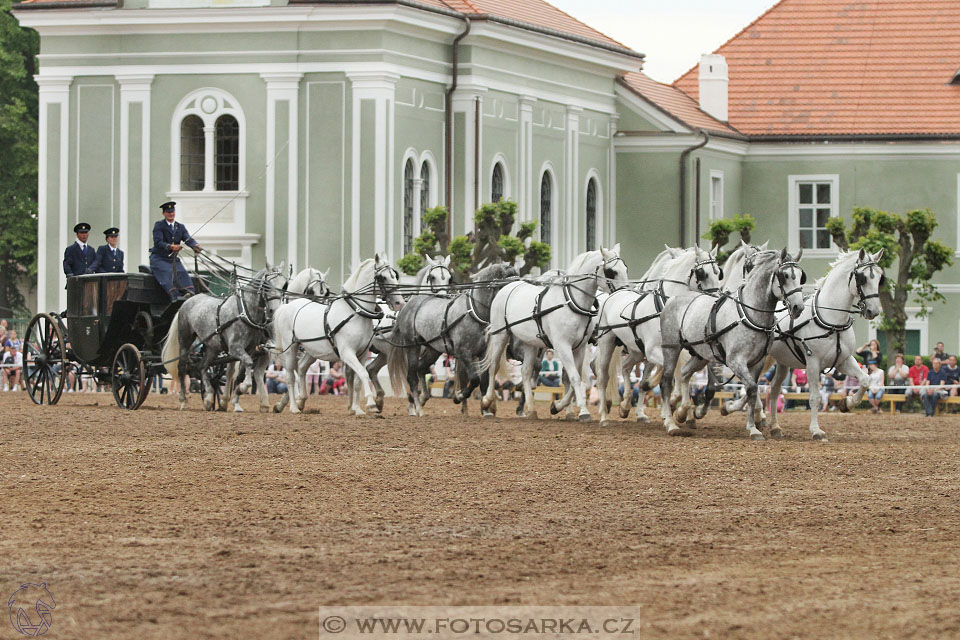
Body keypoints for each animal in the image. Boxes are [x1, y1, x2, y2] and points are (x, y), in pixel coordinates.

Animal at [270, 252, 402, 418]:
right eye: (383, 277)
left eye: (395, 275)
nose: (399, 303)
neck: (355, 312)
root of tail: (287, 306)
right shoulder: (347, 353)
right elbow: (363, 374)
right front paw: (371, 404)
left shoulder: (362, 353)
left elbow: (358, 380)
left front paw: (358, 409)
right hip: (291, 349)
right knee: (290, 377)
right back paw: (294, 407)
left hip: (313, 350)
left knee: (301, 368)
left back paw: (301, 401)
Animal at [480, 245, 632, 420]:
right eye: (611, 271)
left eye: (625, 268)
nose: (624, 294)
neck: (571, 303)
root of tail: (508, 287)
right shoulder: (562, 346)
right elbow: (574, 377)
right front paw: (583, 411)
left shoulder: (579, 347)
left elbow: (573, 378)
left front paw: (558, 406)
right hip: (501, 335)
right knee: (494, 367)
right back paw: (487, 401)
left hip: (530, 343)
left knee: (525, 372)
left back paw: (531, 409)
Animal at [592, 245, 720, 424]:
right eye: (702, 273)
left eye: (718, 272)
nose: (716, 298)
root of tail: (614, 294)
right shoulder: (653, 351)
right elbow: (673, 373)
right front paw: (676, 408)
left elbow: (677, 374)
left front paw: (680, 409)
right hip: (607, 342)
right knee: (602, 376)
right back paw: (603, 415)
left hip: (636, 350)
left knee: (626, 366)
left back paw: (625, 406)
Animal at [764, 249, 884, 440]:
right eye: (862, 278)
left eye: (880, 277)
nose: (874, 311)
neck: (832, 321)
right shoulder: (813, 363)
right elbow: (815, 397)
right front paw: (816, 430)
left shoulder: (843, 361)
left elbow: (865, 380)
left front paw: (847, 403)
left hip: (783, 362)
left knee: (774, 389)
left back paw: (774, 426)